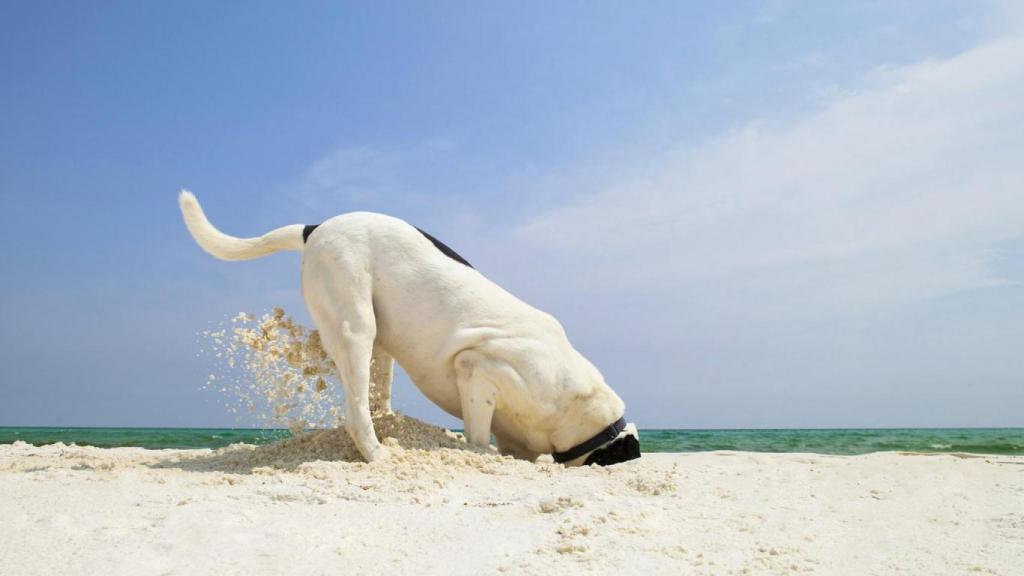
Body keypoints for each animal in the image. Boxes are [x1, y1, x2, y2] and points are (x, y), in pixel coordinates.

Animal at [178, 190, 638, 463]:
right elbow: (478, 437)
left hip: (380, 343)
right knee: (357, 413)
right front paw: (479, 454)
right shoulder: (478, 370)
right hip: (355, 326)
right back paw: (379, 455)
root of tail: (317, 226)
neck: (584, 408)